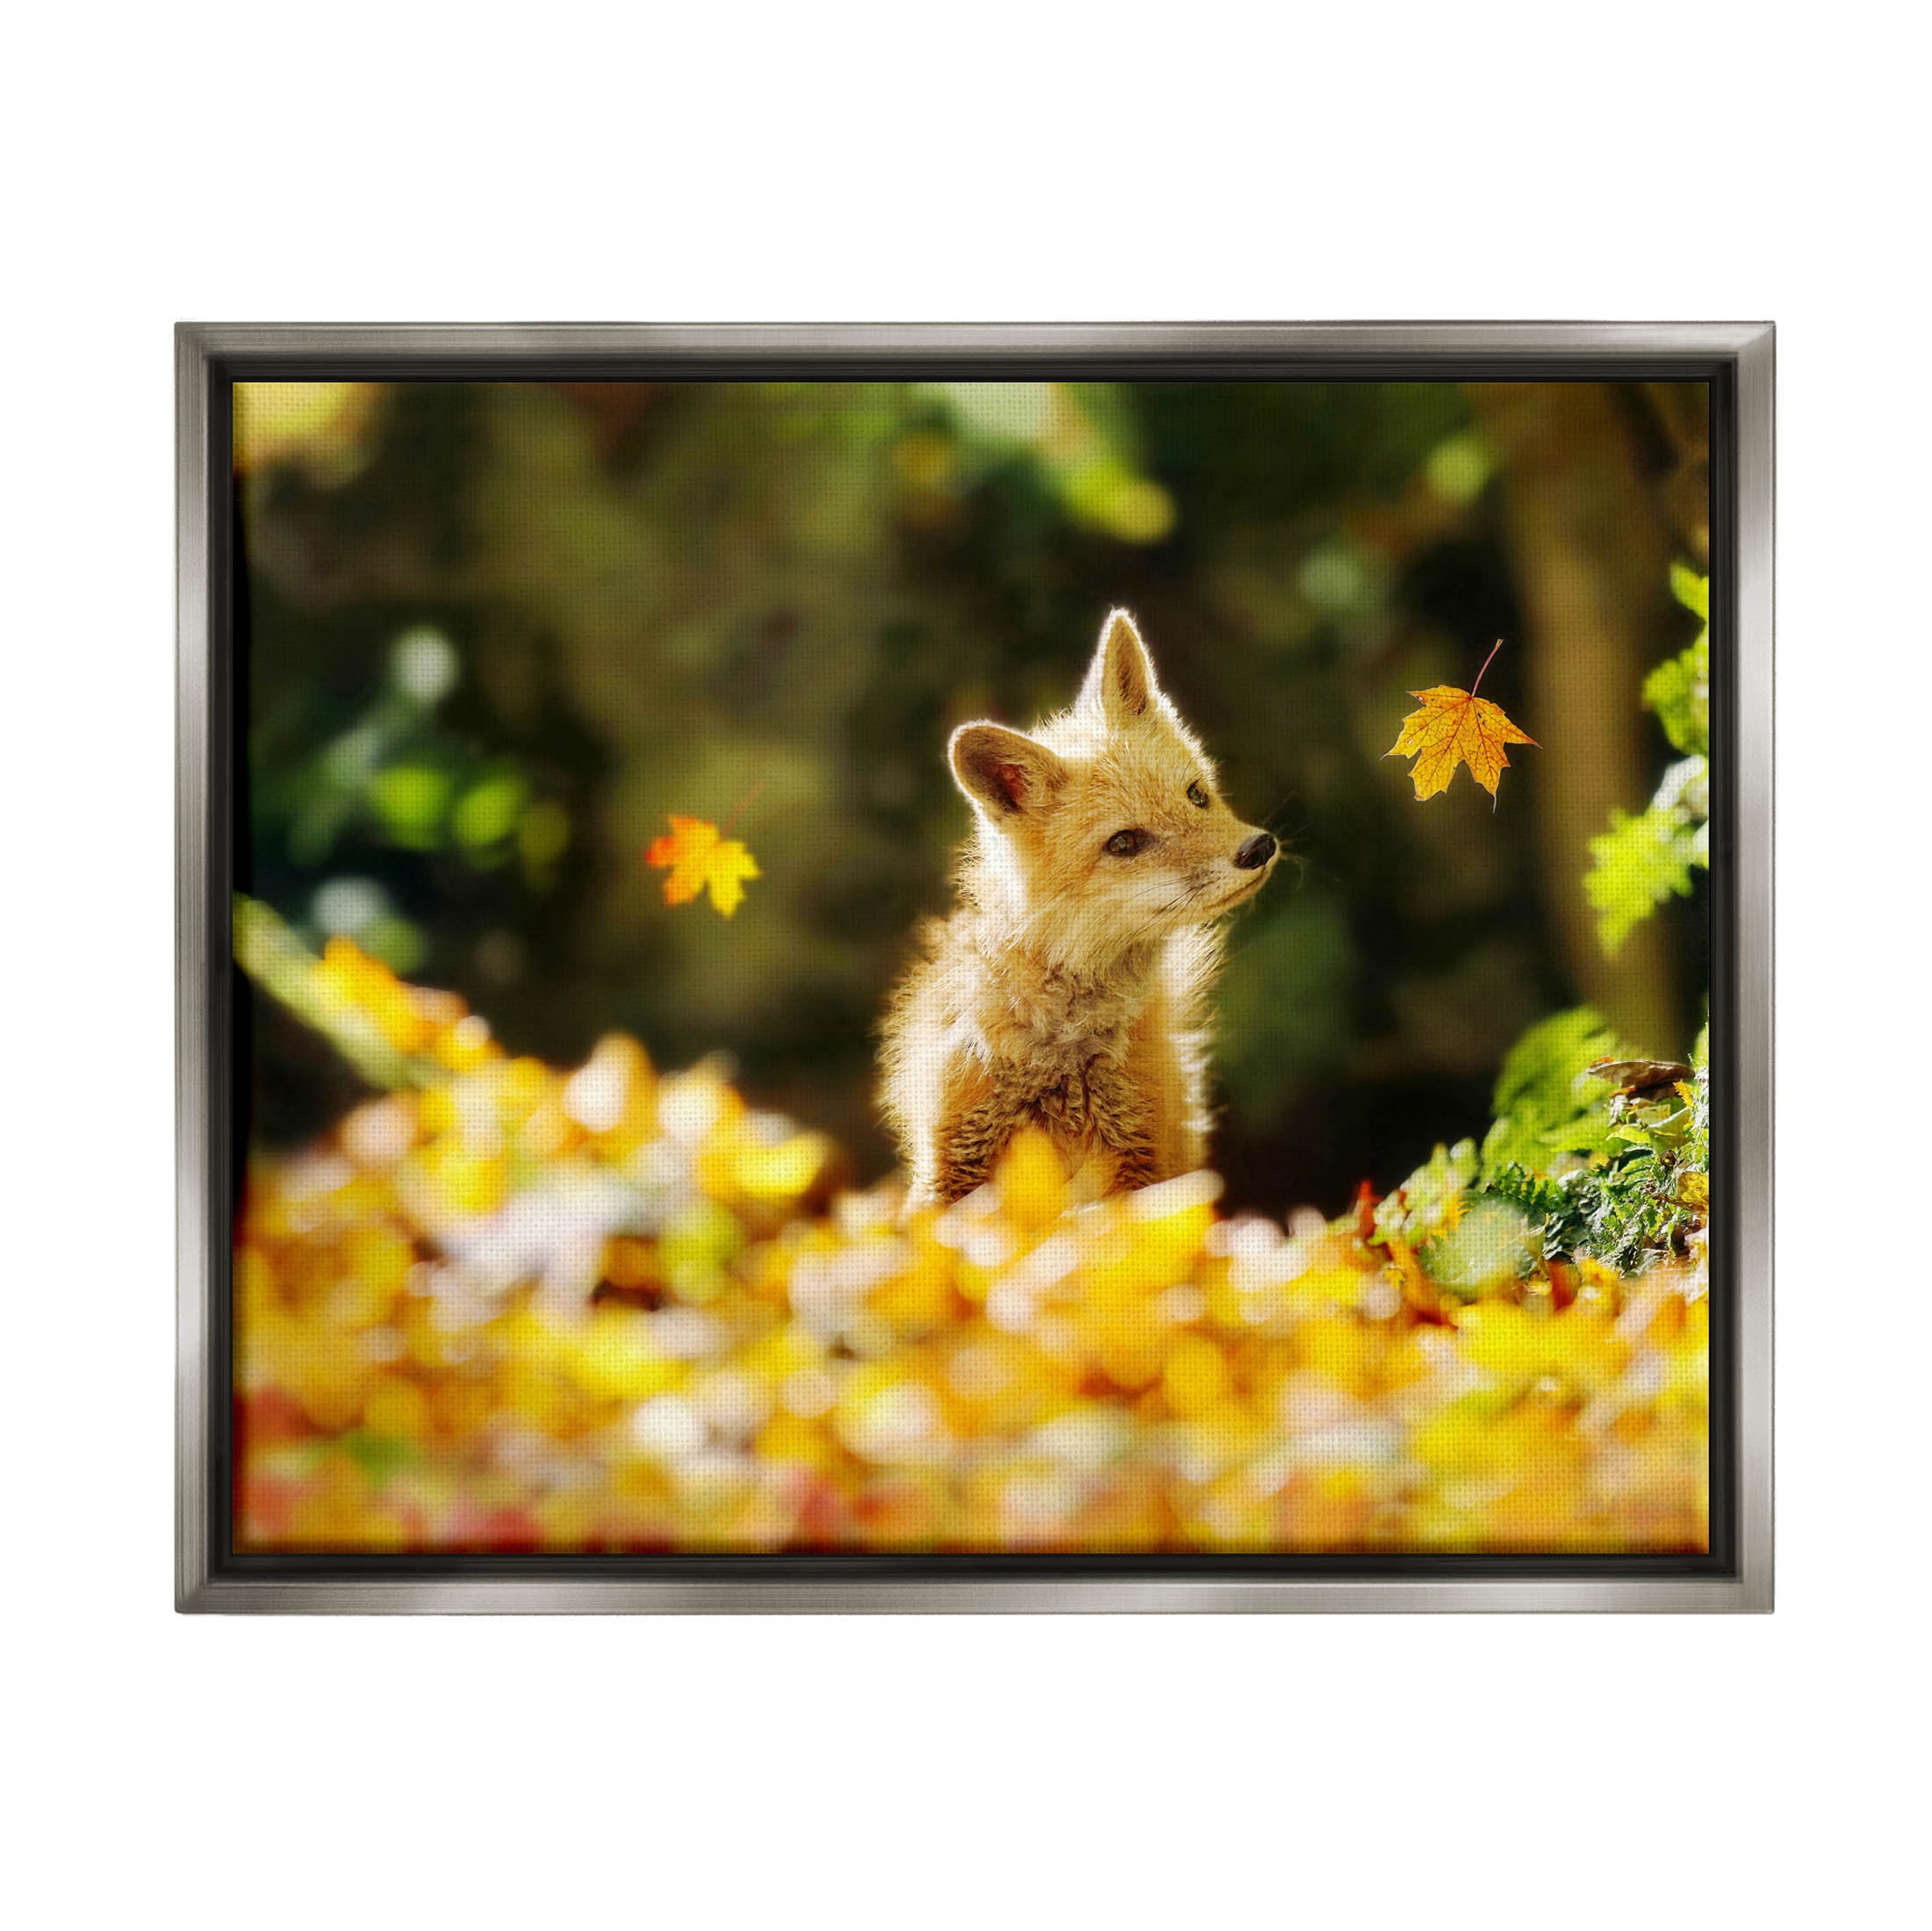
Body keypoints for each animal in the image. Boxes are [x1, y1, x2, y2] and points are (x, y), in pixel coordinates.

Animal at [881, 608, 1279, 1211]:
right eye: (1124, 843)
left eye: (1196, 796)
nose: (1258, 849)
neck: (1062, 1055)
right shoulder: (951, 1159)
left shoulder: (1141, 1159)